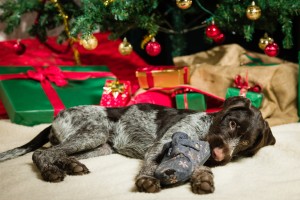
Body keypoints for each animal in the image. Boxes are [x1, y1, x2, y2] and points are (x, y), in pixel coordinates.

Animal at [0, 96, 276, 195]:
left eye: (245, 143)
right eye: (232, 123)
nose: (219, 155)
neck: (204, 129)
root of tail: (55, 118)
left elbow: (199, 166)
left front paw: (203, 180)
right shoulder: (159, 146)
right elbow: (151, 165)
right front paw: (146, 181)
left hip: (99, 146)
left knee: (57, 152)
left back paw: (71, 166)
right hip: (94, 132)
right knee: (42, 152)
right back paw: (51, 171)